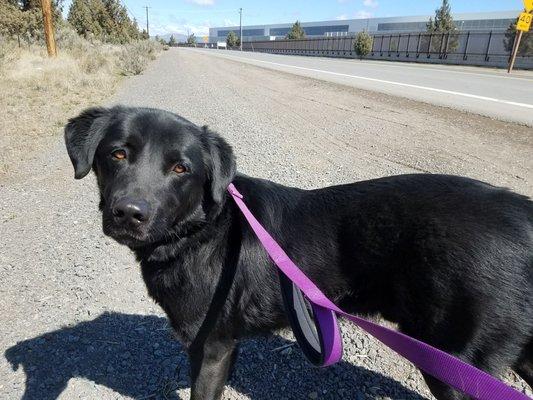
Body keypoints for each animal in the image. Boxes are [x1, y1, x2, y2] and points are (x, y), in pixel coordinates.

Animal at [65, 106, 532, 400]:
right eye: (117, 154)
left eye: (181, 168)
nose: (129, 213)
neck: (199, 230)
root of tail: (524, 214)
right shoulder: (224, 348)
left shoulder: (210, 347)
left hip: (456, 364)